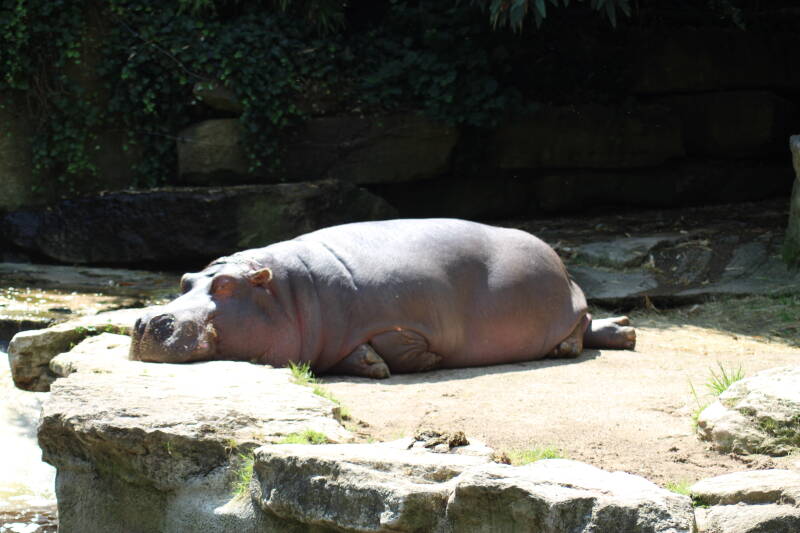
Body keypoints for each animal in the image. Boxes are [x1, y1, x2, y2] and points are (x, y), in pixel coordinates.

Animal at [130, 219, 635, 378]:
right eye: (185, 279)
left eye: (226, 286)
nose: (143, 322)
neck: (288, 292)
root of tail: (562, 264)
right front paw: (370, 363)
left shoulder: (403, 319)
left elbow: (401, 344)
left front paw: (417, 360)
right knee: (596, 325)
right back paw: (625, 331)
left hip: (562, 302)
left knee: (580, 324)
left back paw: (583, 342)